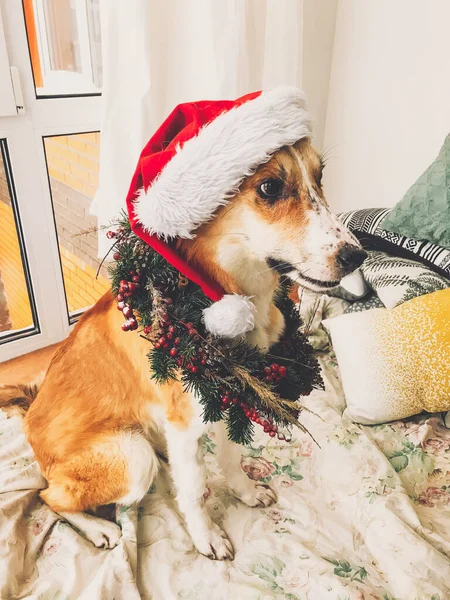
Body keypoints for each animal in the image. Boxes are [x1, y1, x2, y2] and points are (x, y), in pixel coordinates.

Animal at [10, 134, 368, 560]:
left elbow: (232, 456)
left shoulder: (231, 396)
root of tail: (29, 413)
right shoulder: (185, 424)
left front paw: (244, 492)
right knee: (48, 497)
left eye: (320, 176)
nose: (357, 255)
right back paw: (100, 529)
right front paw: (205, 536)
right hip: (131, 457)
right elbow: (195, 491)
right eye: (269, 187)